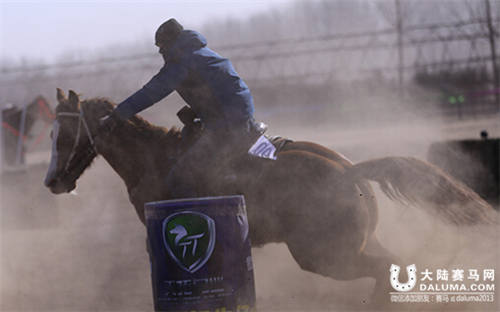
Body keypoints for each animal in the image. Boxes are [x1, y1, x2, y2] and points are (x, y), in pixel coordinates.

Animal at [44, 89, 496, 304]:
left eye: (62, 134)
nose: (52, 183)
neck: (154, 156)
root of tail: (350, 171)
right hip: (353, 244)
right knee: (393, 265)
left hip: (324, 256)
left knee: (386, 267)